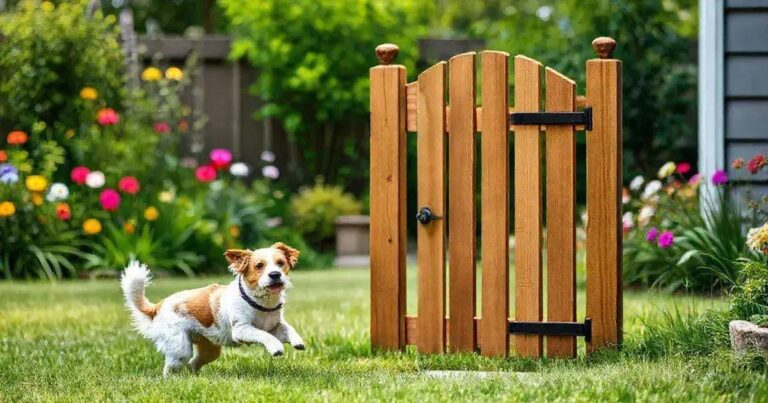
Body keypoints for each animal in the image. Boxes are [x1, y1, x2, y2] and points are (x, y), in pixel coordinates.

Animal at [118, 241, 304, 378]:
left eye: (280, 264)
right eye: (259, 266)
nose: (275, 274)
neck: (262, 303)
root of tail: (159, 305)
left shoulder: (274, 326)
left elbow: (287, 328)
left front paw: (297, 341)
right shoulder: (242, 330)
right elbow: (263, 335)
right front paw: (276, 347)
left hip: (210, 349)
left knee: (192, 364)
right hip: (180, 348)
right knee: (172, 367)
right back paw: (171, 380)